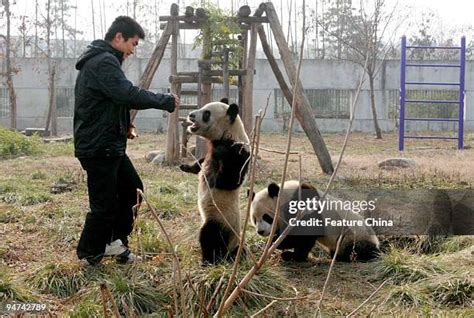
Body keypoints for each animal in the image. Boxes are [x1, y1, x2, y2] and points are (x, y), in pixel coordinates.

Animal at [180, 100, 250, 264]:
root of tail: (233, 248)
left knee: (210, 237)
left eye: (206, 114)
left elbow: (229, 180)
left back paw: (209, 261)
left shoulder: (238, 153)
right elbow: (202, 161)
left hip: (221, 220)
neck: (229, 133)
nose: (191, 115)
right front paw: (186, 167)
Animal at [250, 180, 380, 262]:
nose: (260, 231)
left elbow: (307, 232)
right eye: (254, 219)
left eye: (267, 217)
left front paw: (287, 251)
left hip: (354, 235)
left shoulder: (304, 203)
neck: (285, 196)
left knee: (357, 249)